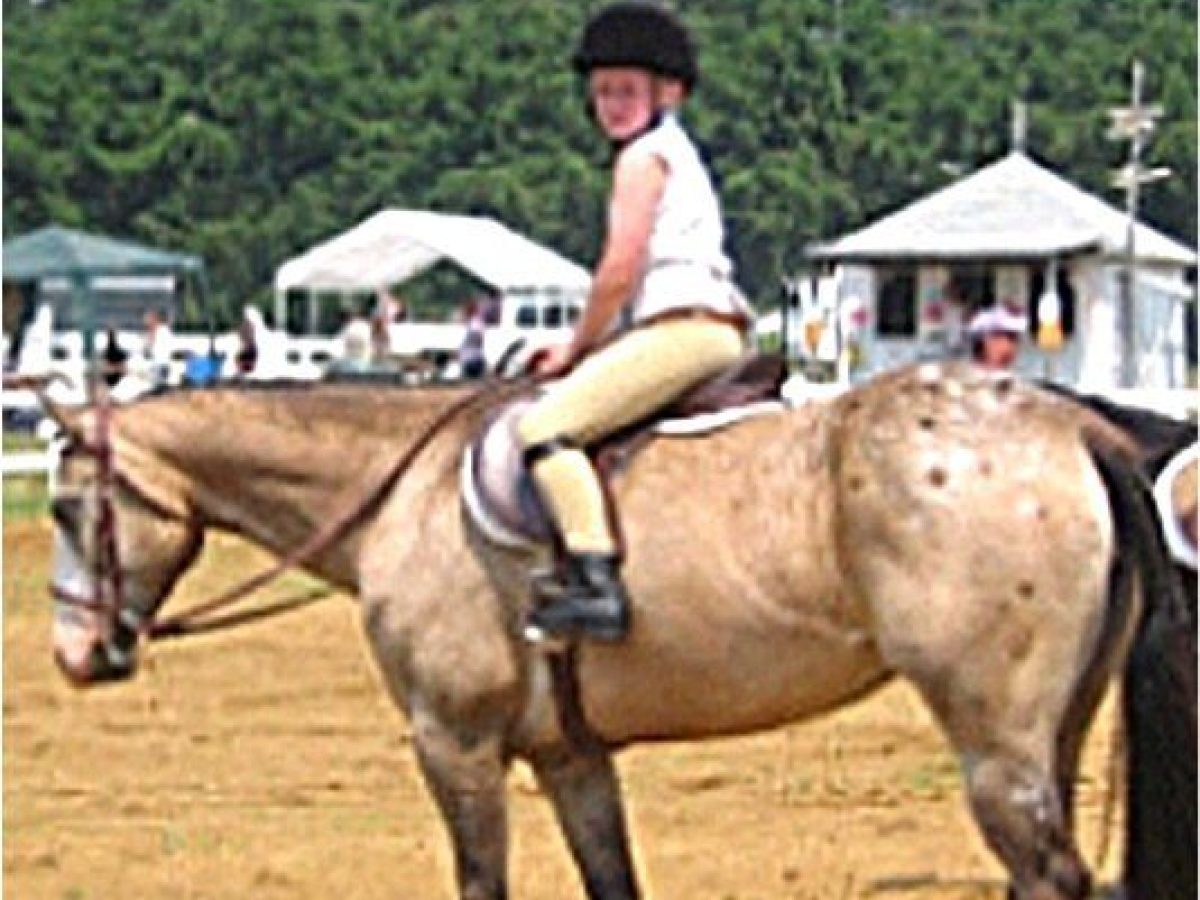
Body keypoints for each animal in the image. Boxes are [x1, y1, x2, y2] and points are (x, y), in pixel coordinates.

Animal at [42, 362, 1182, 900]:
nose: (75, 655)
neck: (399, 492)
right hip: (1052, 732)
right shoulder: (569, 756)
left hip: (994, 745)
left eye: (62, 508)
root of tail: (1072, 423)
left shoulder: (454, 744)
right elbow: (611, 879)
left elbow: (482, 881)